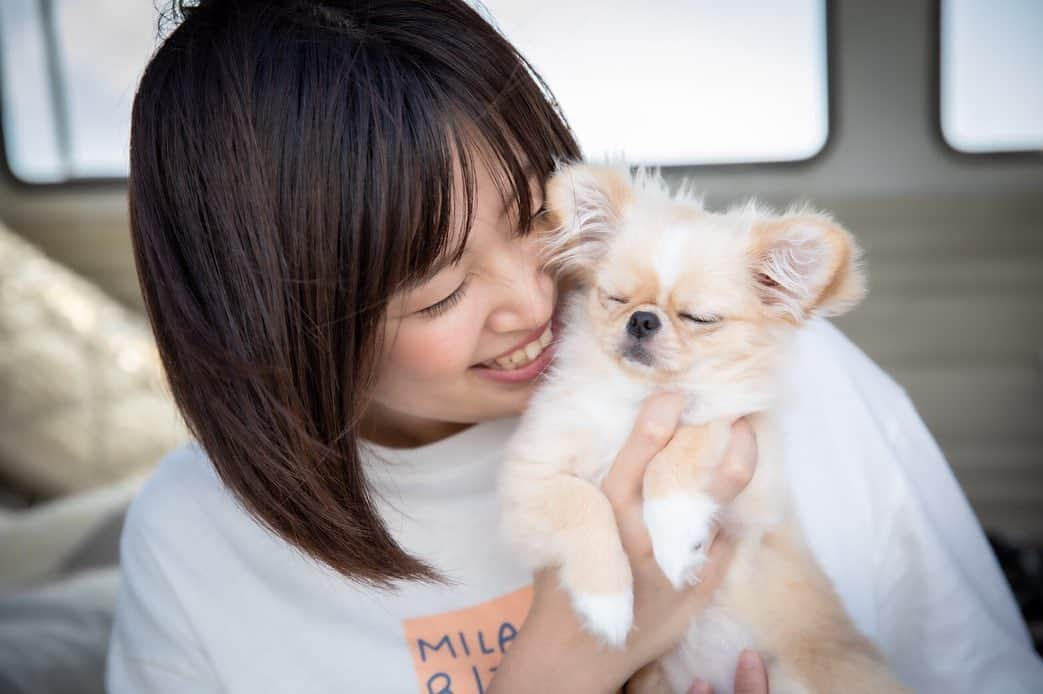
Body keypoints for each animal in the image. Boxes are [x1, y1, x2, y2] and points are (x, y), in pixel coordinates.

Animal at [494, 163, 905, 692]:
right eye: (615, 298)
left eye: (699, 318)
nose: (642, 320)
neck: (641, 398)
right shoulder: (527, 481)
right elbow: (584, 503)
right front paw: (608, 604)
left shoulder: (753, 476)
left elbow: (693, 433)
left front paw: (674, 532)